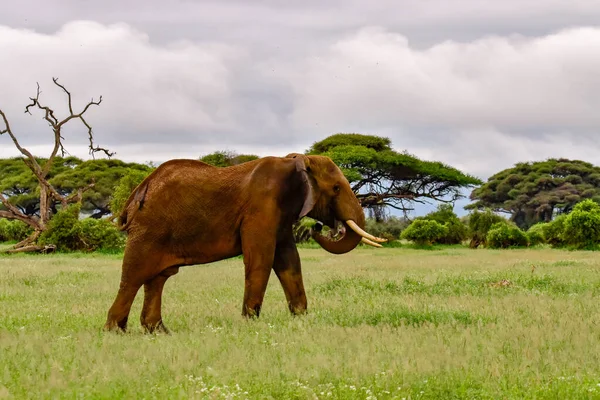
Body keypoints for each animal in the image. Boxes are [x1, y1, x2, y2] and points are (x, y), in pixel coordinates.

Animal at [102, 152, 384, 332]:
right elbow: (261, 258)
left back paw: (158, 331)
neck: (296, 161)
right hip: (149, 230)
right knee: (134, 277)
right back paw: (115, 331)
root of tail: (138, 190)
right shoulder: (261, 207)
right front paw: (251, 323)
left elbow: (289, 261)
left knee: (157, 279)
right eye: (336, 188)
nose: (318, 228)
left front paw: (301, 319)